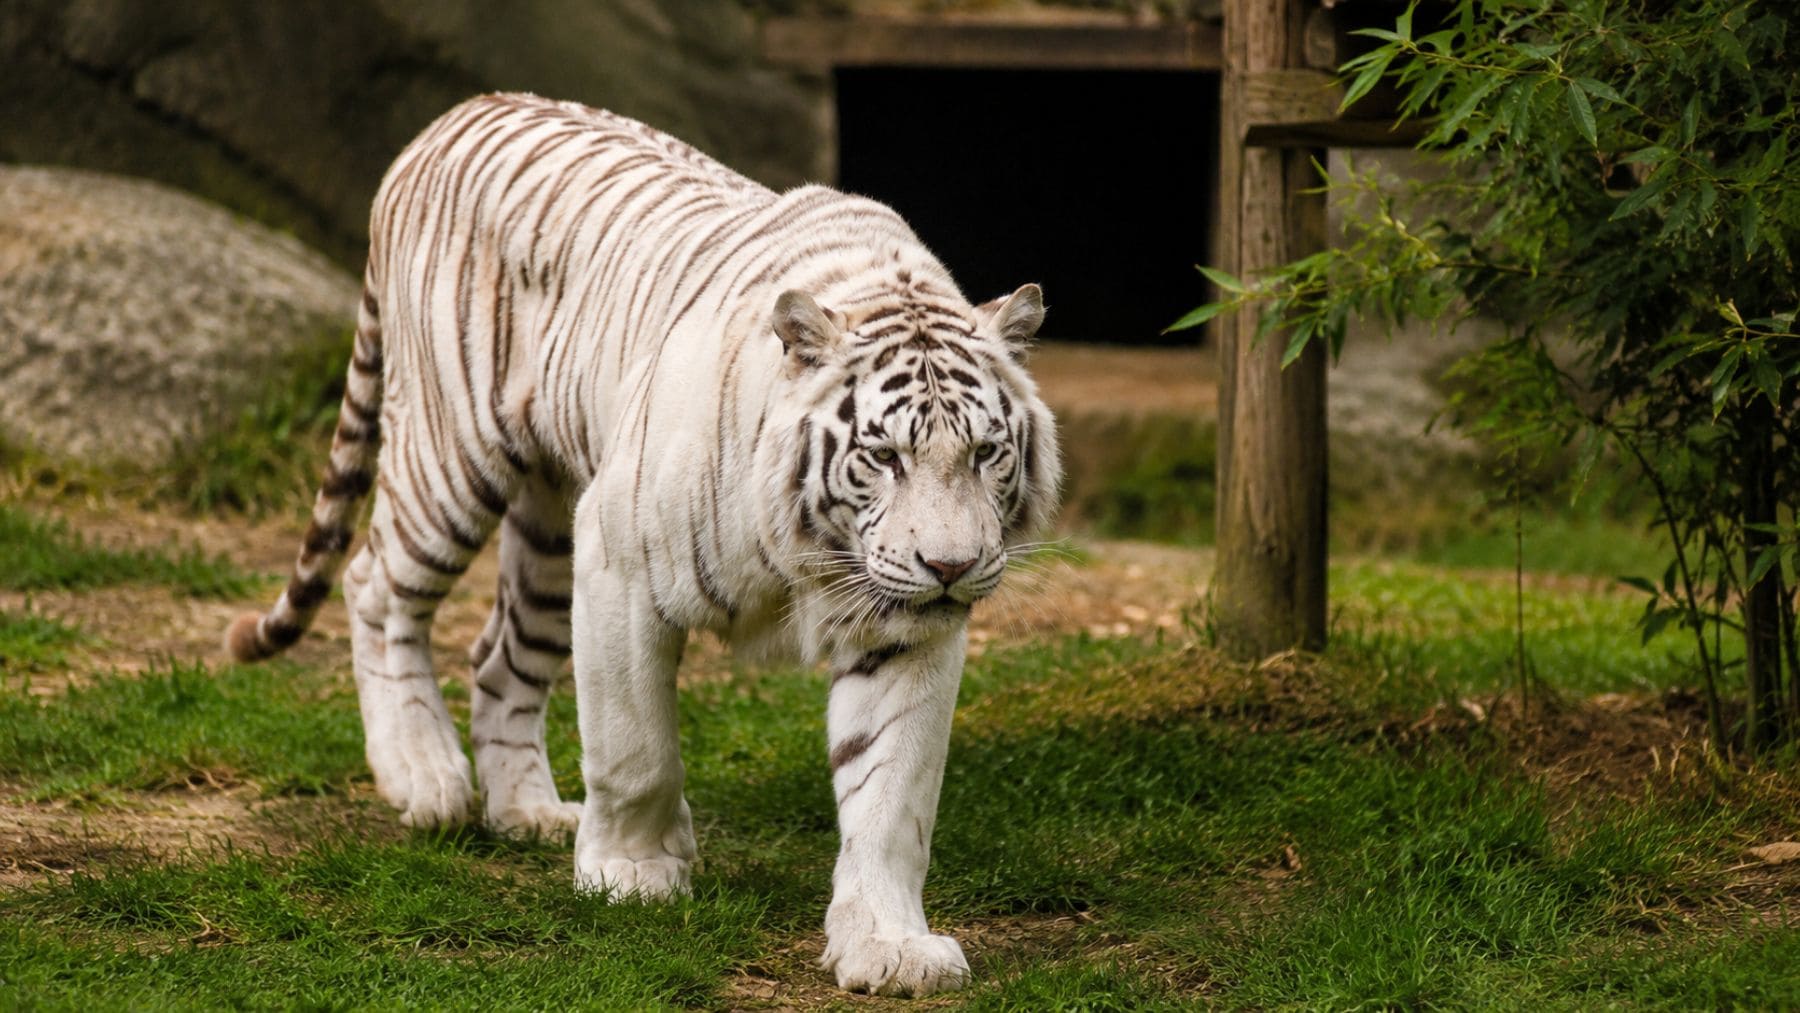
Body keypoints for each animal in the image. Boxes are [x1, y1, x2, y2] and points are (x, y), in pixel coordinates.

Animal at [225, 92, 1060, 997]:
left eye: (985, 452)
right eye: (884, 456)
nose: (951, 566)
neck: (814, 549)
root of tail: (453, 115)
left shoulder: (905, 623)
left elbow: (892, 795)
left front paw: (890, 946)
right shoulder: (621, 565)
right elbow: (636, 748)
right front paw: (634, 874)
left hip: (551, 532)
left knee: (498, 657)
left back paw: (527, 811)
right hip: (449, 462)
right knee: (376, 590)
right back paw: (424, 775)